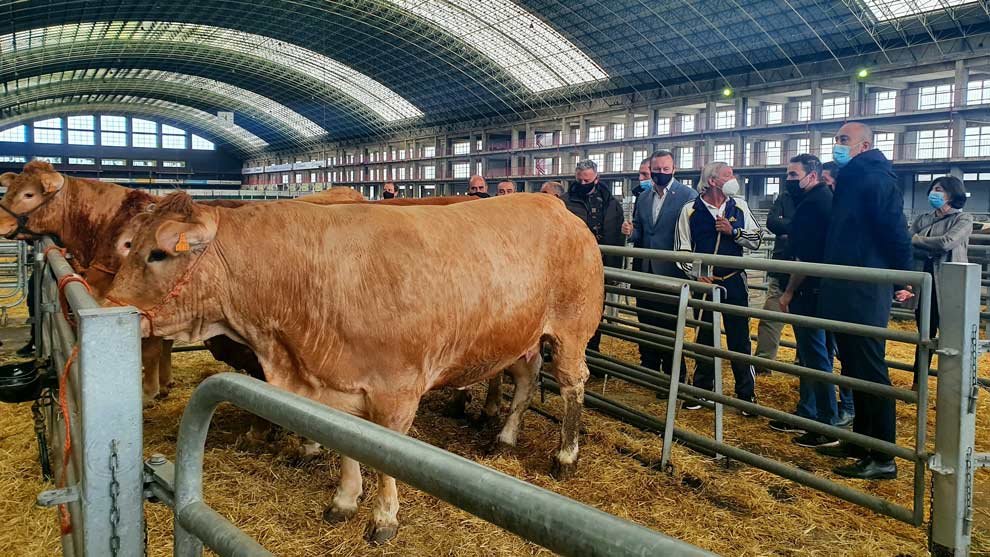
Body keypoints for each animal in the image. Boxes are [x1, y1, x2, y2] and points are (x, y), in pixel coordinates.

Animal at [108, 191, 604, 544]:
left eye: (156, 253)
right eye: (129, 245)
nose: (109, 305)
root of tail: (553, 204)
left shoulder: (397, 390)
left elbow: (386, 457)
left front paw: (383, 518)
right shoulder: (339, 389)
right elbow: (349, 445)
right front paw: (344, 501)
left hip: (571, 330)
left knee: (572, 385)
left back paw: (565, 455)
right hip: (518, 341)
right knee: (525, 382)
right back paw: (504, 438)